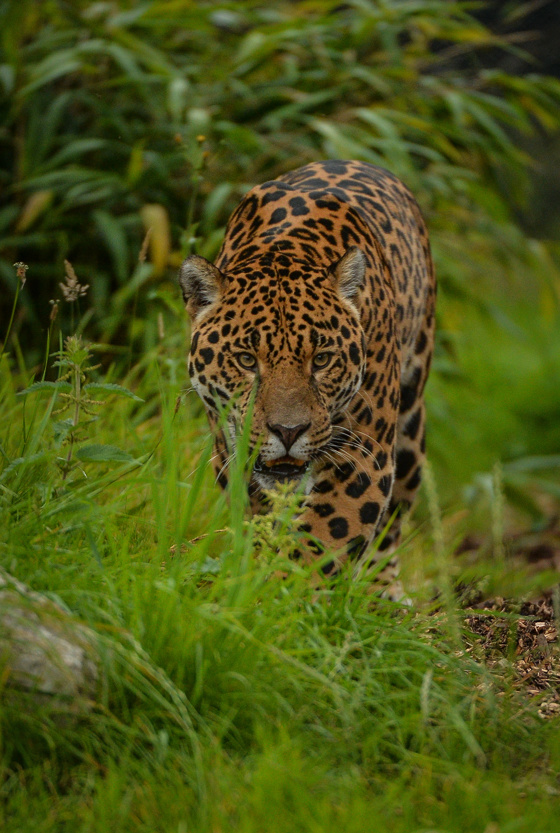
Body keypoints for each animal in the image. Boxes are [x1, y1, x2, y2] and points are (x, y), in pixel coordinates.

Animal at [179, 160, 436, 596]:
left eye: (322, 360)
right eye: (246, 359)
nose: (288, 431)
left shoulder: (361, 454)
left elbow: (321, 540)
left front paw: (279, 593)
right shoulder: (232, 450)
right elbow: (259, 521)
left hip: (410, 423)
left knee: (393, 519)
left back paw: (380, 591)